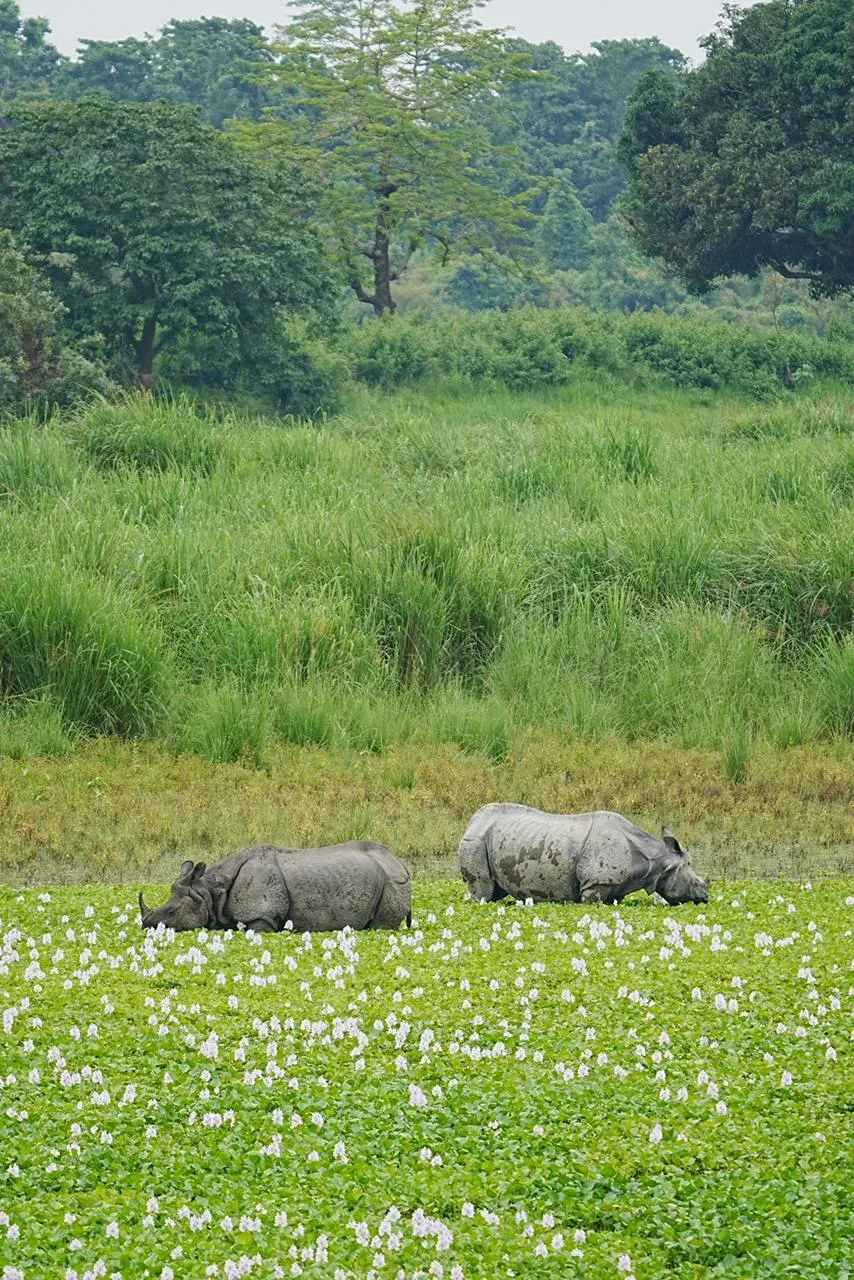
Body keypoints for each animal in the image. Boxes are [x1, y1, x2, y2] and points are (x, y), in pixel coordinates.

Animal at [139, 841, 412, 933]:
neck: (210, 890)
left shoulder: (263, 917)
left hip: (392, 883)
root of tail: (400, 861)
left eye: (172, 912)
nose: (146, 925)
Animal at [458, 804, 709, 906]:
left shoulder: (615, 885)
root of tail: (472, 821)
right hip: (476, 841)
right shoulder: (595, 883)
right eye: (695, 882)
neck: (657, 861)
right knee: (483, 891)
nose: (706, 897)